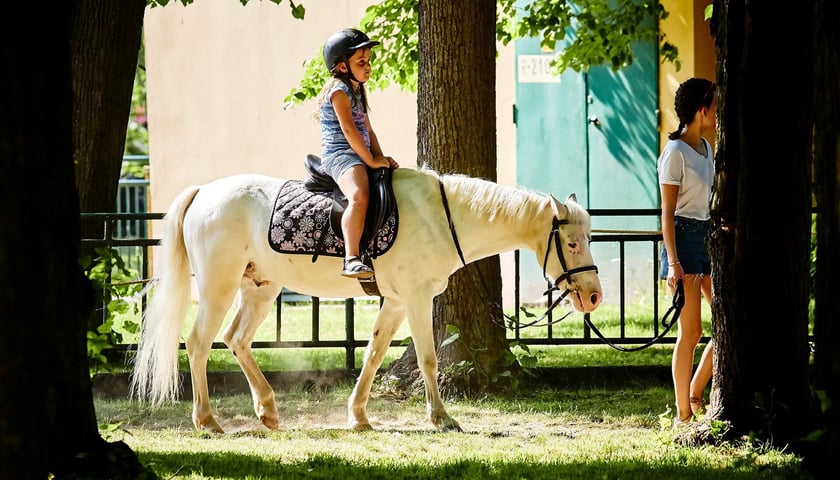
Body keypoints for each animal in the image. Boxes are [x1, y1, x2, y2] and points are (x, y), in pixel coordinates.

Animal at [131, 167, 600, 434]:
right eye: (573, 243)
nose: (594, 296)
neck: (441, 217)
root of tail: (204, 192)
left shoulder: (395, 302)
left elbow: (374, 356)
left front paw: (358, 416)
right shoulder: (415, 299)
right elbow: (428, 359)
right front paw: (441, 418)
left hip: (260, 288)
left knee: (237, 339)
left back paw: (267, 410)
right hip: (218, 287)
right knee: (199, 343)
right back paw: (207, 420)